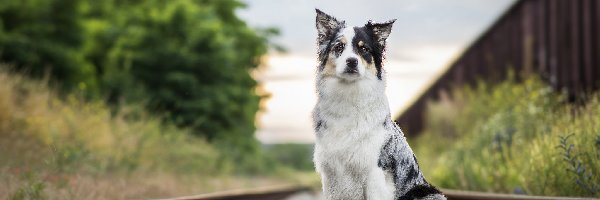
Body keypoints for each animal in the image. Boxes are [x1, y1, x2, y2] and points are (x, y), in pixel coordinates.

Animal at [310, 8, 446, 199]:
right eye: (339, 47)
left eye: (364, 49)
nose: (352, 61)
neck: (349, 96)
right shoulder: (331, 175)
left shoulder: (374, 172)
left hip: (427, 192)